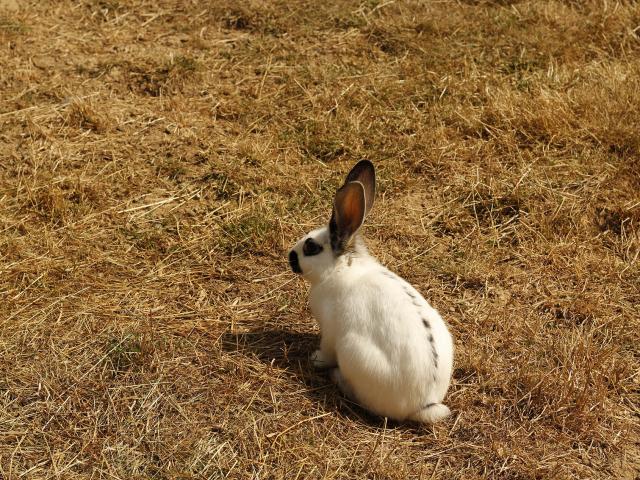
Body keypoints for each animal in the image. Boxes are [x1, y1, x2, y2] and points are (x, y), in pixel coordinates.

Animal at [288, 161, 452, 424]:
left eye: (310, 247)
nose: (290, 257)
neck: (340, 267)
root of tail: (426, 403)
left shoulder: (330, 333)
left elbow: (325, 351)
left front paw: (315, 359)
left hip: (351, 350)